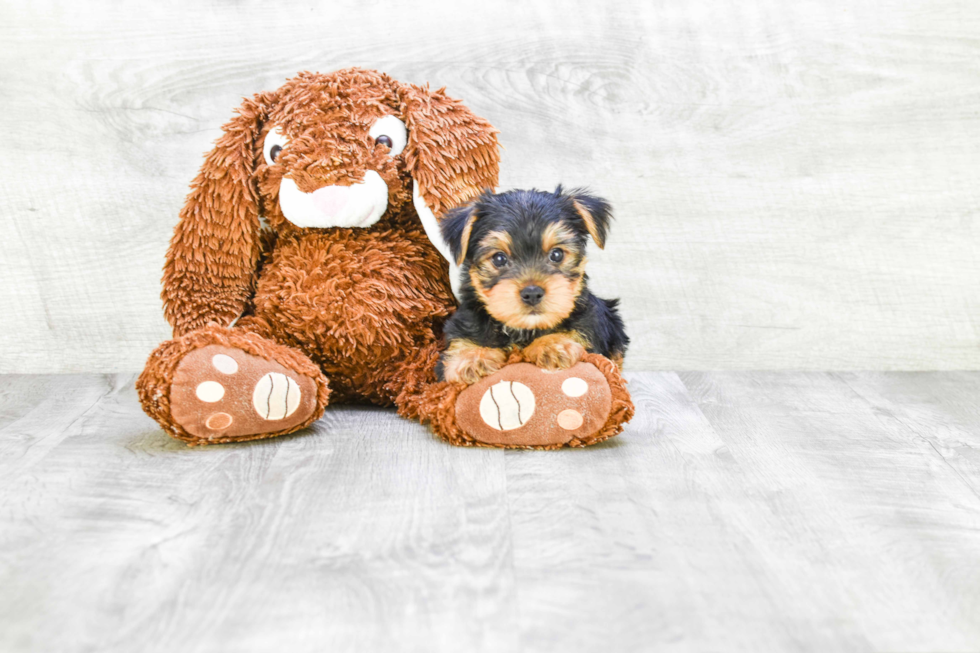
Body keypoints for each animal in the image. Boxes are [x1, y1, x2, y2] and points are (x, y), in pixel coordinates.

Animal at [434, 186, 628, 384]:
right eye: (499, 258)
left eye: (556, 254)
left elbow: (577, 331)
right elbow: (463, 339)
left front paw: (552, 343)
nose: (532, 293)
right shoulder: (463, 323)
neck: (524, 329)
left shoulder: (591, 323)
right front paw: (471, 357)